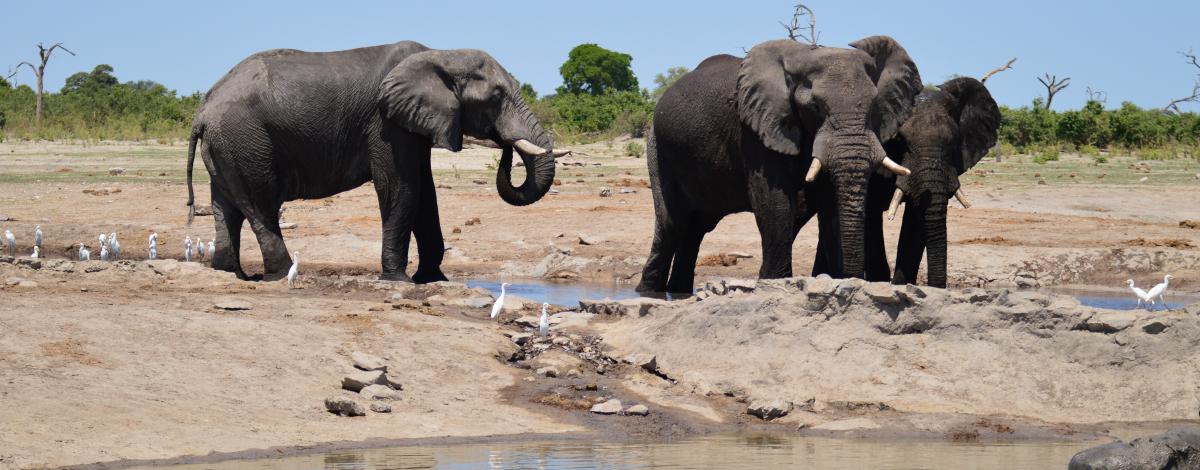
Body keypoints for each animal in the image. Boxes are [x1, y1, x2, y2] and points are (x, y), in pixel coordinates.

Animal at [186, 40, 561, 280]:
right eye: (496, 97)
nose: (505, 145)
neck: (440, 55)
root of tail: (202, 112)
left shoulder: (411, 124)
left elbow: (426, 194)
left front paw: (433, 279)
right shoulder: (386, 123)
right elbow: (401, 188)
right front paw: (398, 279)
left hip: (228, 147)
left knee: (226, 206)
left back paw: (230, 272)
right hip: (246, 141)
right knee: (261, 205)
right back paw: (281, 274)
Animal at [638, 37, 916, 293]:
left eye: (873, 106)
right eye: (815, 106)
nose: (855, 279)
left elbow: (830, 205)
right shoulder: (756, 130)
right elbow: (774, 201)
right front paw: (775, 284)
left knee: (696, 228)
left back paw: (677, 292)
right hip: (657, 147)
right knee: (672, 224)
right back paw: (648, 292)